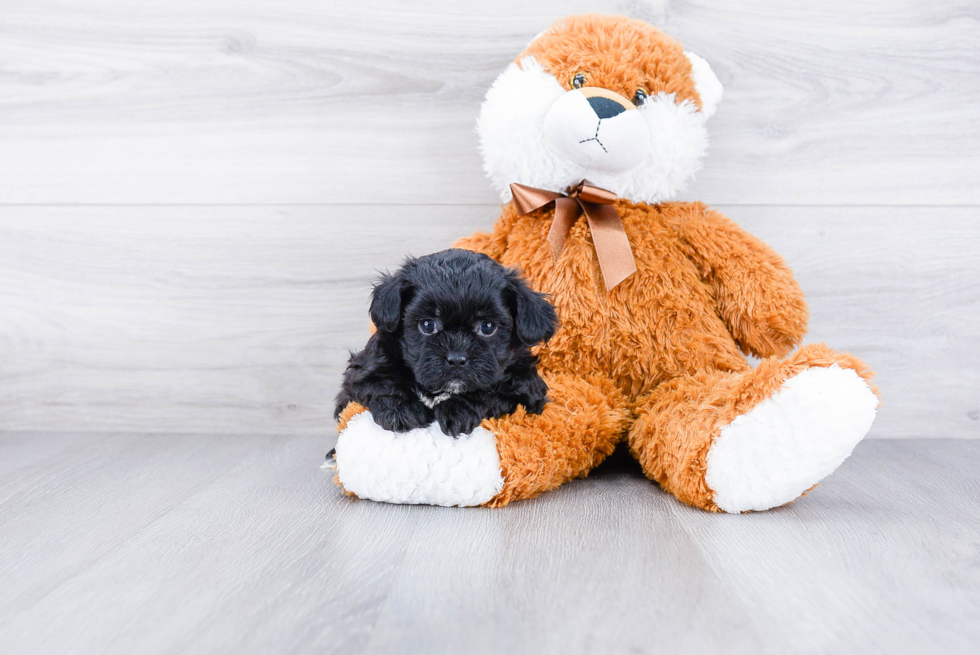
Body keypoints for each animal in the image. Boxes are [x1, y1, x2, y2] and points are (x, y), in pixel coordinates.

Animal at [334, 249, 556, 438]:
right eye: (427, 325)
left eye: (487, 327)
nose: (456, 359)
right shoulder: (364, 370)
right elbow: (380, 382)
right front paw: (402, 409)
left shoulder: (525, 391)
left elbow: (490, 394)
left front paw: (458, 409)